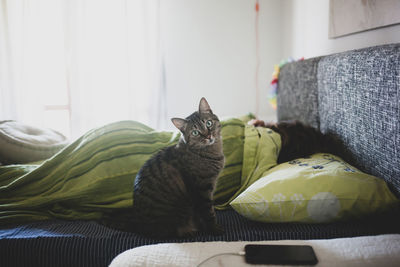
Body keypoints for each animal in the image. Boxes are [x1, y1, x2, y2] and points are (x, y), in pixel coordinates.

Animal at [132, 98, 223, 239]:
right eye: (195, 132)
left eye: (209, 123)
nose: (209, 136)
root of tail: (139, 228)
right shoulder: (201, 190)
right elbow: (208, 213)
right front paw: (215, 229)